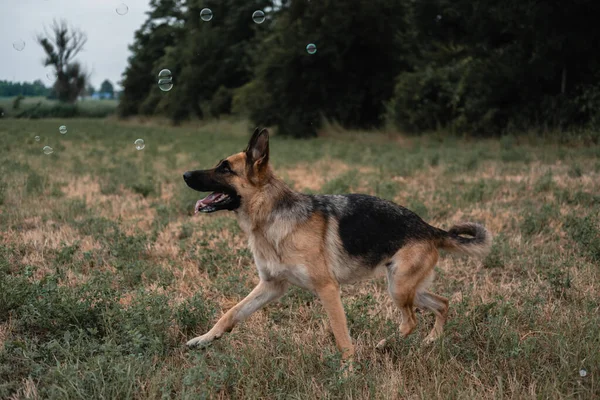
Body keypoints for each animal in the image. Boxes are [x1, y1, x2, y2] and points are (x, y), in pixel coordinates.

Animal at [183, 129, 492, 362]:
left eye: (224, 168)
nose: (184, 175)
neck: (271, 216)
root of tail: (429, 228)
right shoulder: (271, 286)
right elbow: (232, 313)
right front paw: (204, 339)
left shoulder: (327, 289)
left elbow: (342, 336)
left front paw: (347, 372)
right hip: (406, 287)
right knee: (442, 304)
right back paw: (430, 340)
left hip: (399, 287)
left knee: (411, 320)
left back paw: (384, 344)